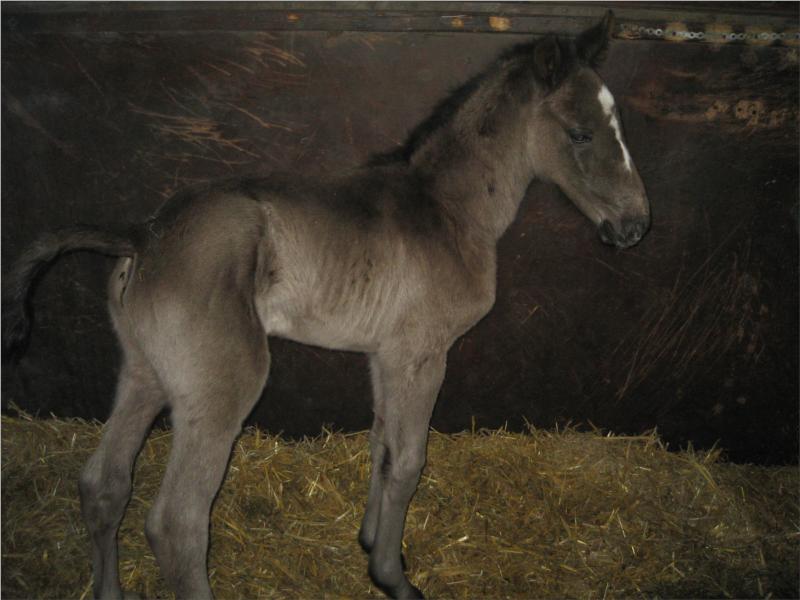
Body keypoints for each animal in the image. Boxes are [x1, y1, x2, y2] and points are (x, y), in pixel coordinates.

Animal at [3, 12, 648, 600]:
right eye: (581, 133)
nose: (635, 225)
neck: (447, 211)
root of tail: (143, 234)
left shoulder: (384, 356)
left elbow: (380, 443)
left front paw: (370, 544)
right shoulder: (421, 354)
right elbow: (408, 460)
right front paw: (392, 578)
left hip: (144, 370)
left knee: (103, 485)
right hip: (221, 386)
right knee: (177, 525)